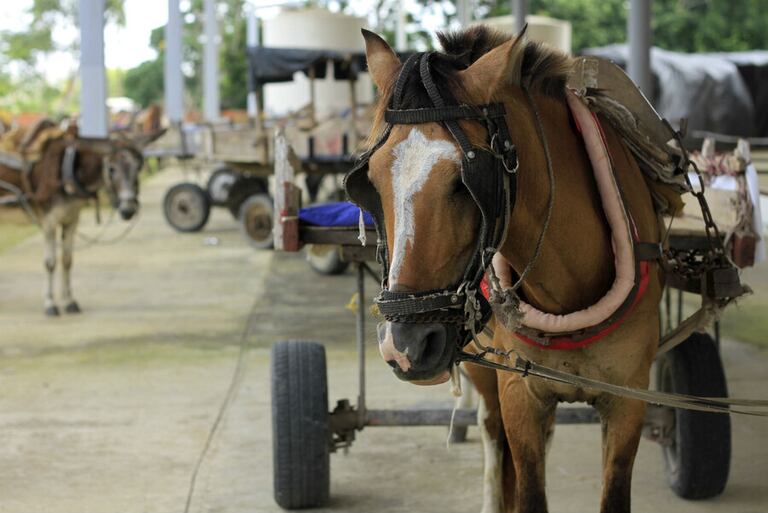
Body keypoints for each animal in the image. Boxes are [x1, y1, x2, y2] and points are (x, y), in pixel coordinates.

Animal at [0, 121, 160, 316]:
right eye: (112, 168)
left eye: (138, 167)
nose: (128, 210)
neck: (66, 167)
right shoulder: (48, 221)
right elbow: (50, 263)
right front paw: (50, 304)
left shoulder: (71, 218)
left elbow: (67, 260)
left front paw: (69, 302)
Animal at [351, 27, 665, 513]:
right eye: (368, 181)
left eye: (466, 184)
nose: (404, 346)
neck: (568, 292)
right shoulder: (518, 392)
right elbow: (525, 486)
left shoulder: (629, 396)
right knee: (492, 434)